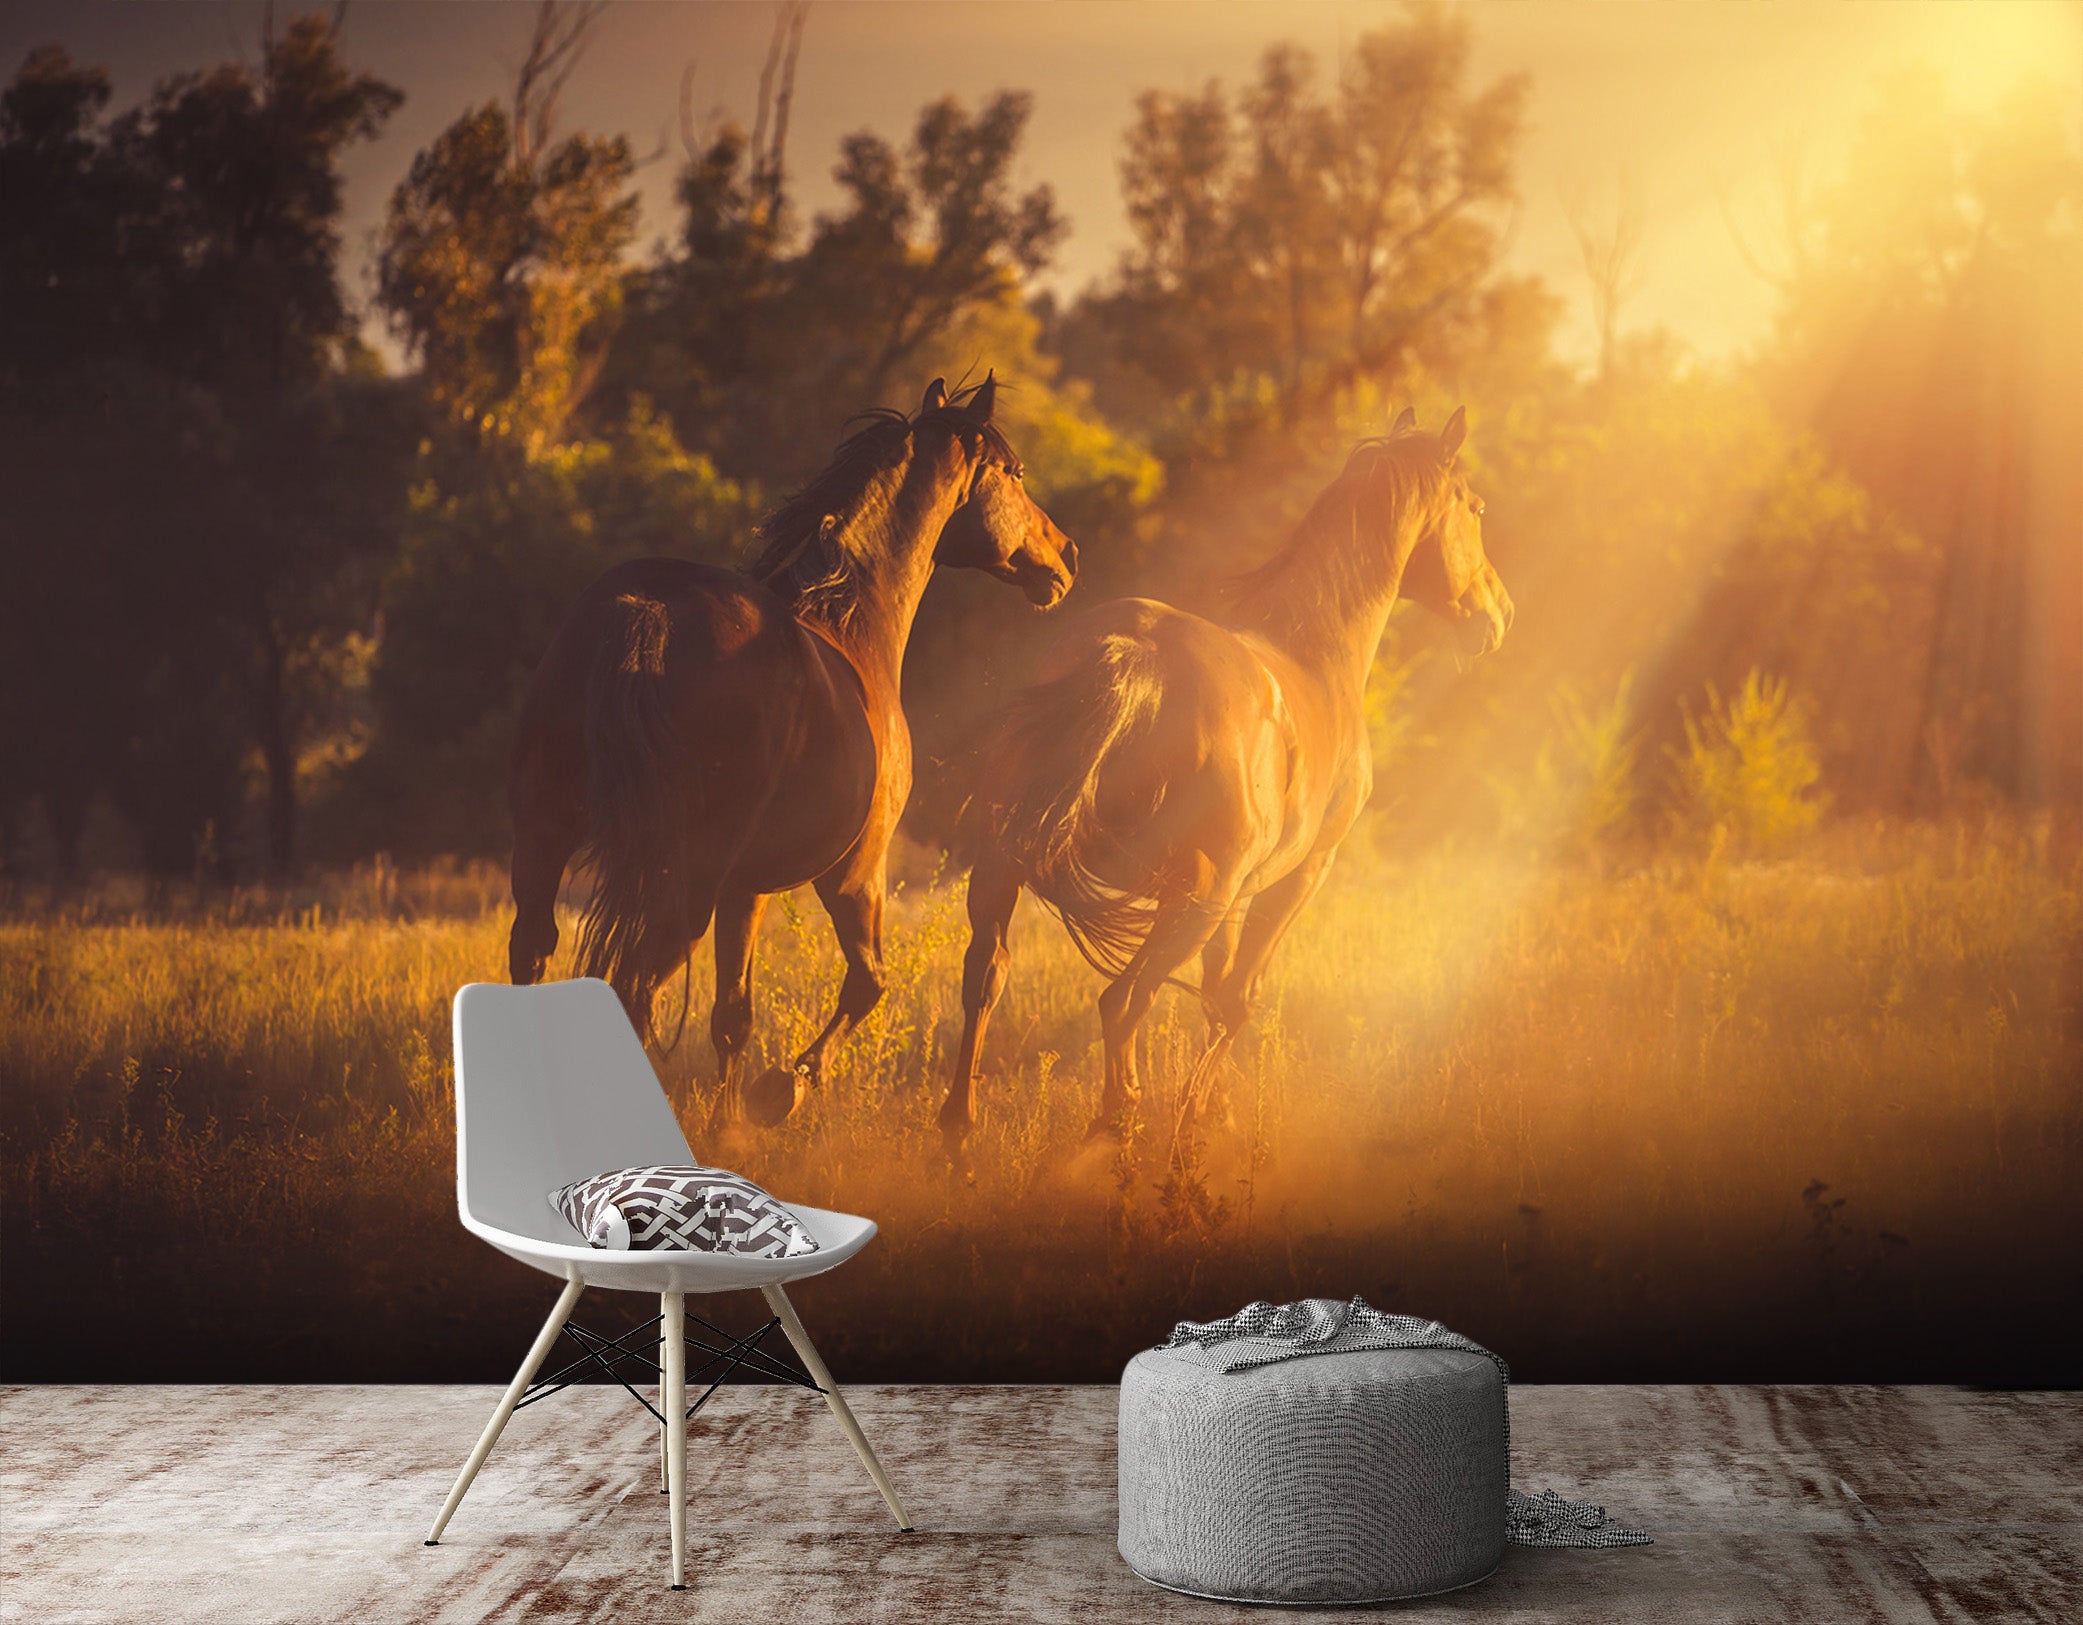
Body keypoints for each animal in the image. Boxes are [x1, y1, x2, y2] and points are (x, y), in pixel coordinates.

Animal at [507, 374, 1078, 1129]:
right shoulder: (854, 872)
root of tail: (645, 611)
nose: (1066, 555)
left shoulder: (743, 889)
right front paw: (782, 1090)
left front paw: (729, 1126)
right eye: (1014, 473)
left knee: (533, 956)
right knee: (634, 987)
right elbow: (867, 984)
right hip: (683, 886)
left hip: (546, 840)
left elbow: (732, 1016)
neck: (850, 623)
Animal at [937, 407, 1511, 1167]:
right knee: (1124, 1000)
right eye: (1475, 508)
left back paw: (957, 1135)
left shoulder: (1239, 893)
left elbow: (1214, 992)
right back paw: (1116, 1130)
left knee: (987, 974)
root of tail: (1137, 652)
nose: (1499, 614)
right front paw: (1201, 1125)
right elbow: (1237, 997)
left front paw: (1211, 1114)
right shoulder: (1299, 876)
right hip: (1191, 902)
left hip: (1008, 867)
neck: (1315, 654)